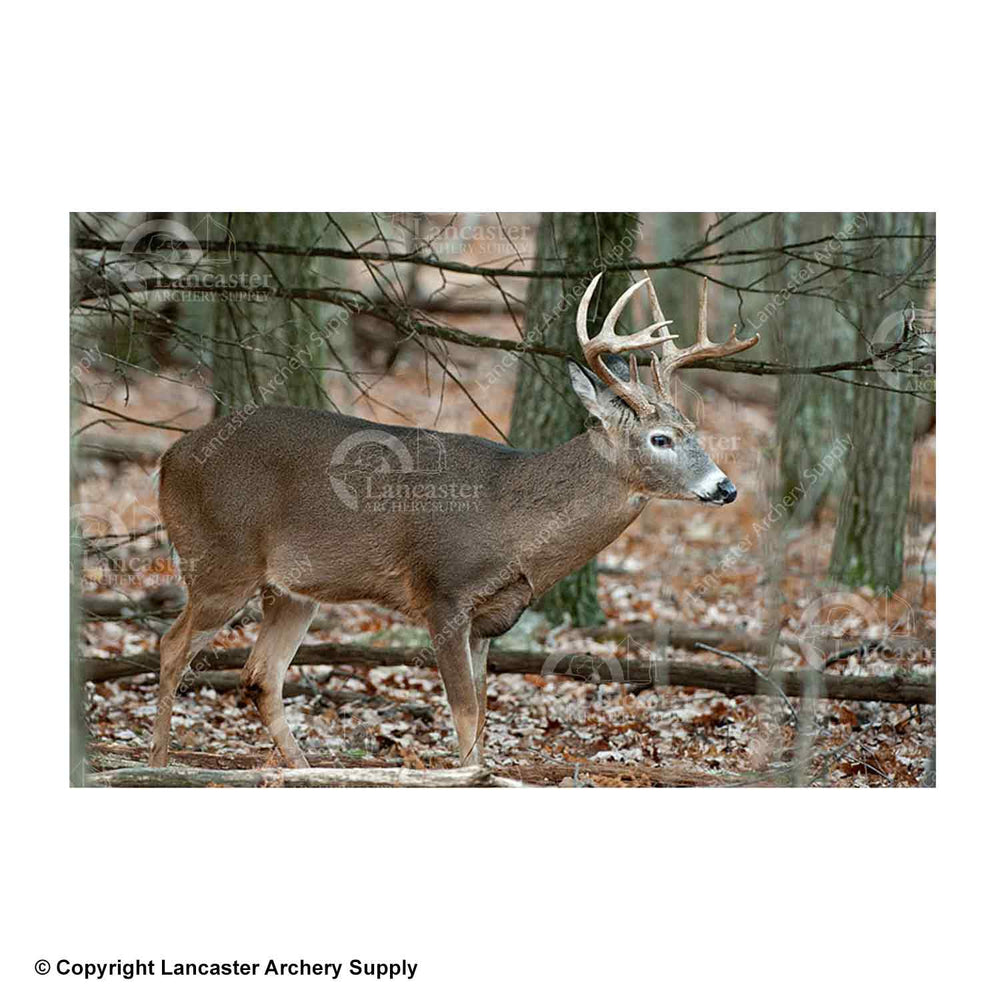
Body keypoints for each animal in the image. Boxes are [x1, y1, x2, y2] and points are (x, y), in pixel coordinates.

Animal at [149, 273, 759, 770]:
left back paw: (303, 769)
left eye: (694, 430)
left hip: (293, 589)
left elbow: (484, 715)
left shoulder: (490, 618)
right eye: (661, 439)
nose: (725, 488)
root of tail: (168, 459)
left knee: (260, 674)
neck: (514, 523)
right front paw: (468, 776)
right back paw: (159, 761)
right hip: (221, 561)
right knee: (173, 646)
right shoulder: (442, 592)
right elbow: (464, 714)